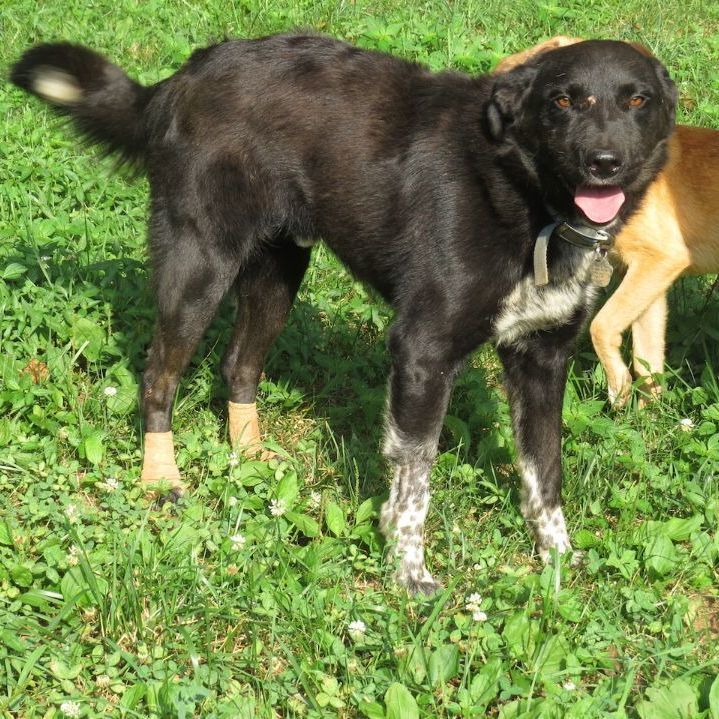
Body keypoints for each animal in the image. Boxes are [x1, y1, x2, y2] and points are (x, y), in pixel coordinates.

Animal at [9, 33, 676, 592]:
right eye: (564, 100)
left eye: (636, 100)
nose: (605, 162)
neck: (524, 193)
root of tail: (184, 76)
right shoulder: (422, 351)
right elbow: (414, 481)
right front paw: (410, 574)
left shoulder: (542, 359)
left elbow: (545, 473)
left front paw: (558, 562)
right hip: (197, 265)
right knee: (157, 376)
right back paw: (161, 478)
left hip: (279, 270)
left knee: (237, 364)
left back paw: (251, 457)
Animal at [500, 38, 719, 404]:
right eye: (563, 100)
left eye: (635, 100)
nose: (603, 163)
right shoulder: (651, 281)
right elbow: (648, 360)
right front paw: (646, 413)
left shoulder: (662, 259)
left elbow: (601, 325)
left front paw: (618, 388)